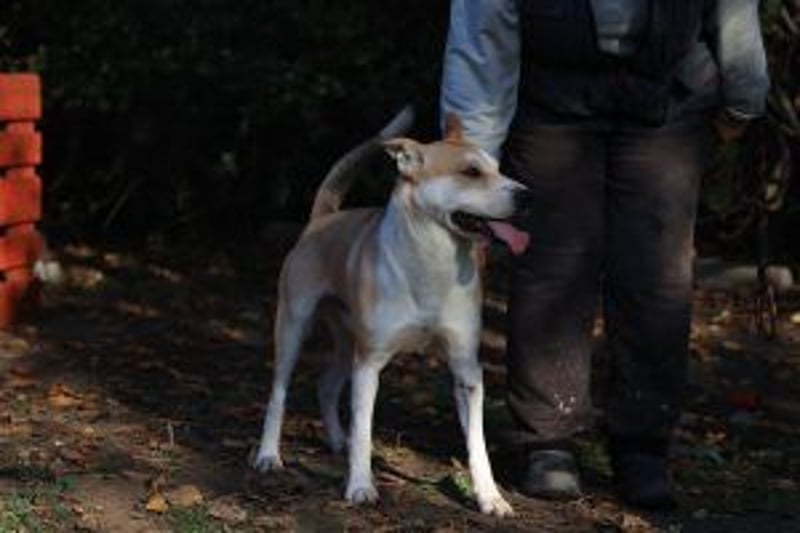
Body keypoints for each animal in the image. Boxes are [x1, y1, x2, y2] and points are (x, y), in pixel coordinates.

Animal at [252, 107, 530, 517]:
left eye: (497, 168)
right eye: (470, 172)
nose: (527, 196)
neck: (434, 261)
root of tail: (323, 217)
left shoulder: (466, 369)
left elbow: (477, 443)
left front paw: (490, 497)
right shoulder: (369, 364)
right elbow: (365, 429)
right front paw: (360, 486)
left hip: (347, 341)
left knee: (326, 384)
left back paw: (338, 441)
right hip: (294, 328)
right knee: (279, 393)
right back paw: (269, 455)